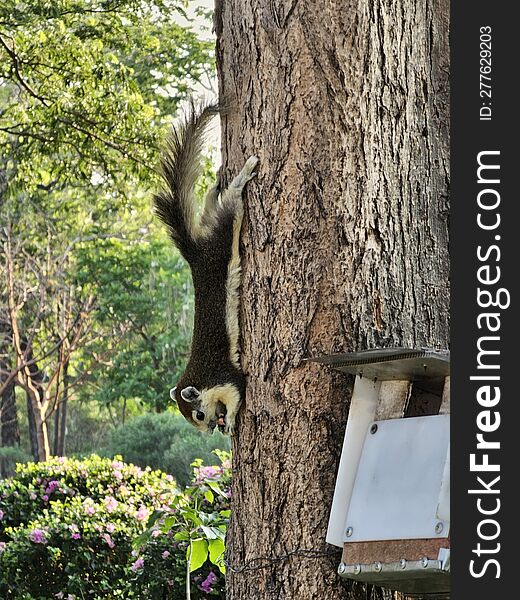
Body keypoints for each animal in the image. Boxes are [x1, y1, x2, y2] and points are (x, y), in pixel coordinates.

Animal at [154, 102, 260, 432]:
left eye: (199, 415)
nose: (210, 428)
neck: (200, 379)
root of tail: (197, 254)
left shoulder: (225, 378)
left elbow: (238, 393)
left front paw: (232, 420)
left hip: (222, 238)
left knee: (230, 205)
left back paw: (242, 175)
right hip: (213, 229)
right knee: (211, 207)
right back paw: (215, 184)